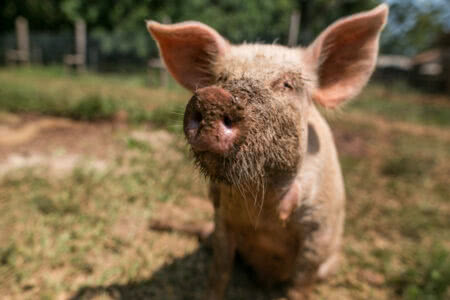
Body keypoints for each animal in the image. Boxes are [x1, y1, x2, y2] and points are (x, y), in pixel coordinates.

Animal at [147, 4, 386, 300]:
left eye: (287, 84)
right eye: (221, 78)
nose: (215, 97)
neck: (260, 204)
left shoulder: (320, 228)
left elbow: (300, 285)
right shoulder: (222, 218)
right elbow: (219, 271)